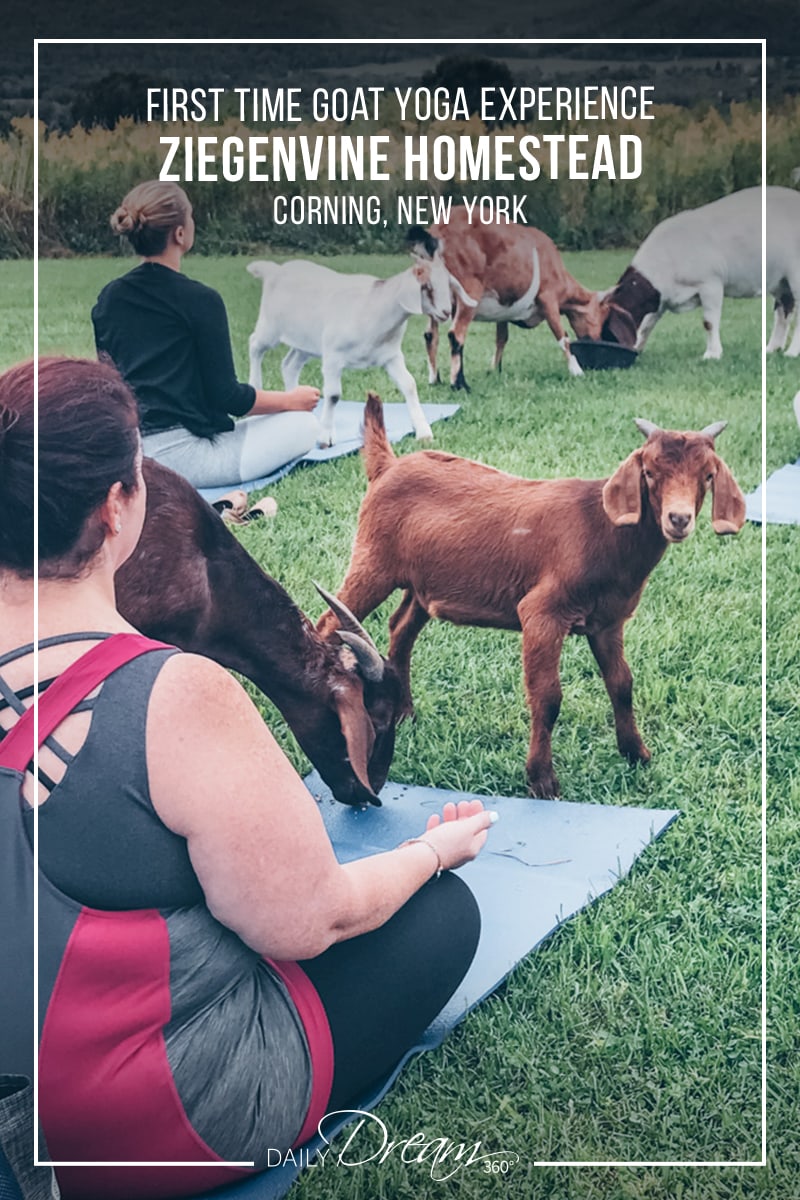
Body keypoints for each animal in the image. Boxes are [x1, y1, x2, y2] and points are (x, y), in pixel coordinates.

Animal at [247, 250, 453, 448]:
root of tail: (274, 270)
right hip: (270, 327)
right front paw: (325, 438)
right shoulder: (333, 356)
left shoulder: (391, 356)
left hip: (306, 343)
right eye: (427, 286)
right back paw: (256, 386)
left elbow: (409, 384)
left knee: (289, 365)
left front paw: (424, 433)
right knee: (255, 345)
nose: (447, 312)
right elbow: (333, 395)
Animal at [316, 398, 748, 801]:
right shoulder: (543, 613)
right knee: (330, 621)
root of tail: (388, 465)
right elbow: (548, 696)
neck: (603, 529)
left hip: (423, 582)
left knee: (401, 627)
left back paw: (405, 712)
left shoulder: (608, 621)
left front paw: (636, 753)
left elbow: (622, 684)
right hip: (373, 560)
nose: (678, 519)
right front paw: (542, 781)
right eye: (649, 473)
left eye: (708, 475)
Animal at [410, 207, 604, 388]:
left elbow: (501, 338)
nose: (598, 339)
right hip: (469, 293)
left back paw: (434, 380)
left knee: (430, 335)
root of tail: (438, 231)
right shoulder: (548, 298)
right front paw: (576, 370)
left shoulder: (503, 311)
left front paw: (495, 369)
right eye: (600, 316)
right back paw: (459, 384)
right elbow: (562, 336)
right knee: (455, 334)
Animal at [599, 184, 800, 357]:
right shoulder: (660, 298)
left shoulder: (710, 283)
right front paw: (638, 348)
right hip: (780, 281)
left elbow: (709, 322)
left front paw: (712, 355)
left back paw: (791, 353)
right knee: (784, 309)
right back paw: (771, 349)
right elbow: (648, 323)